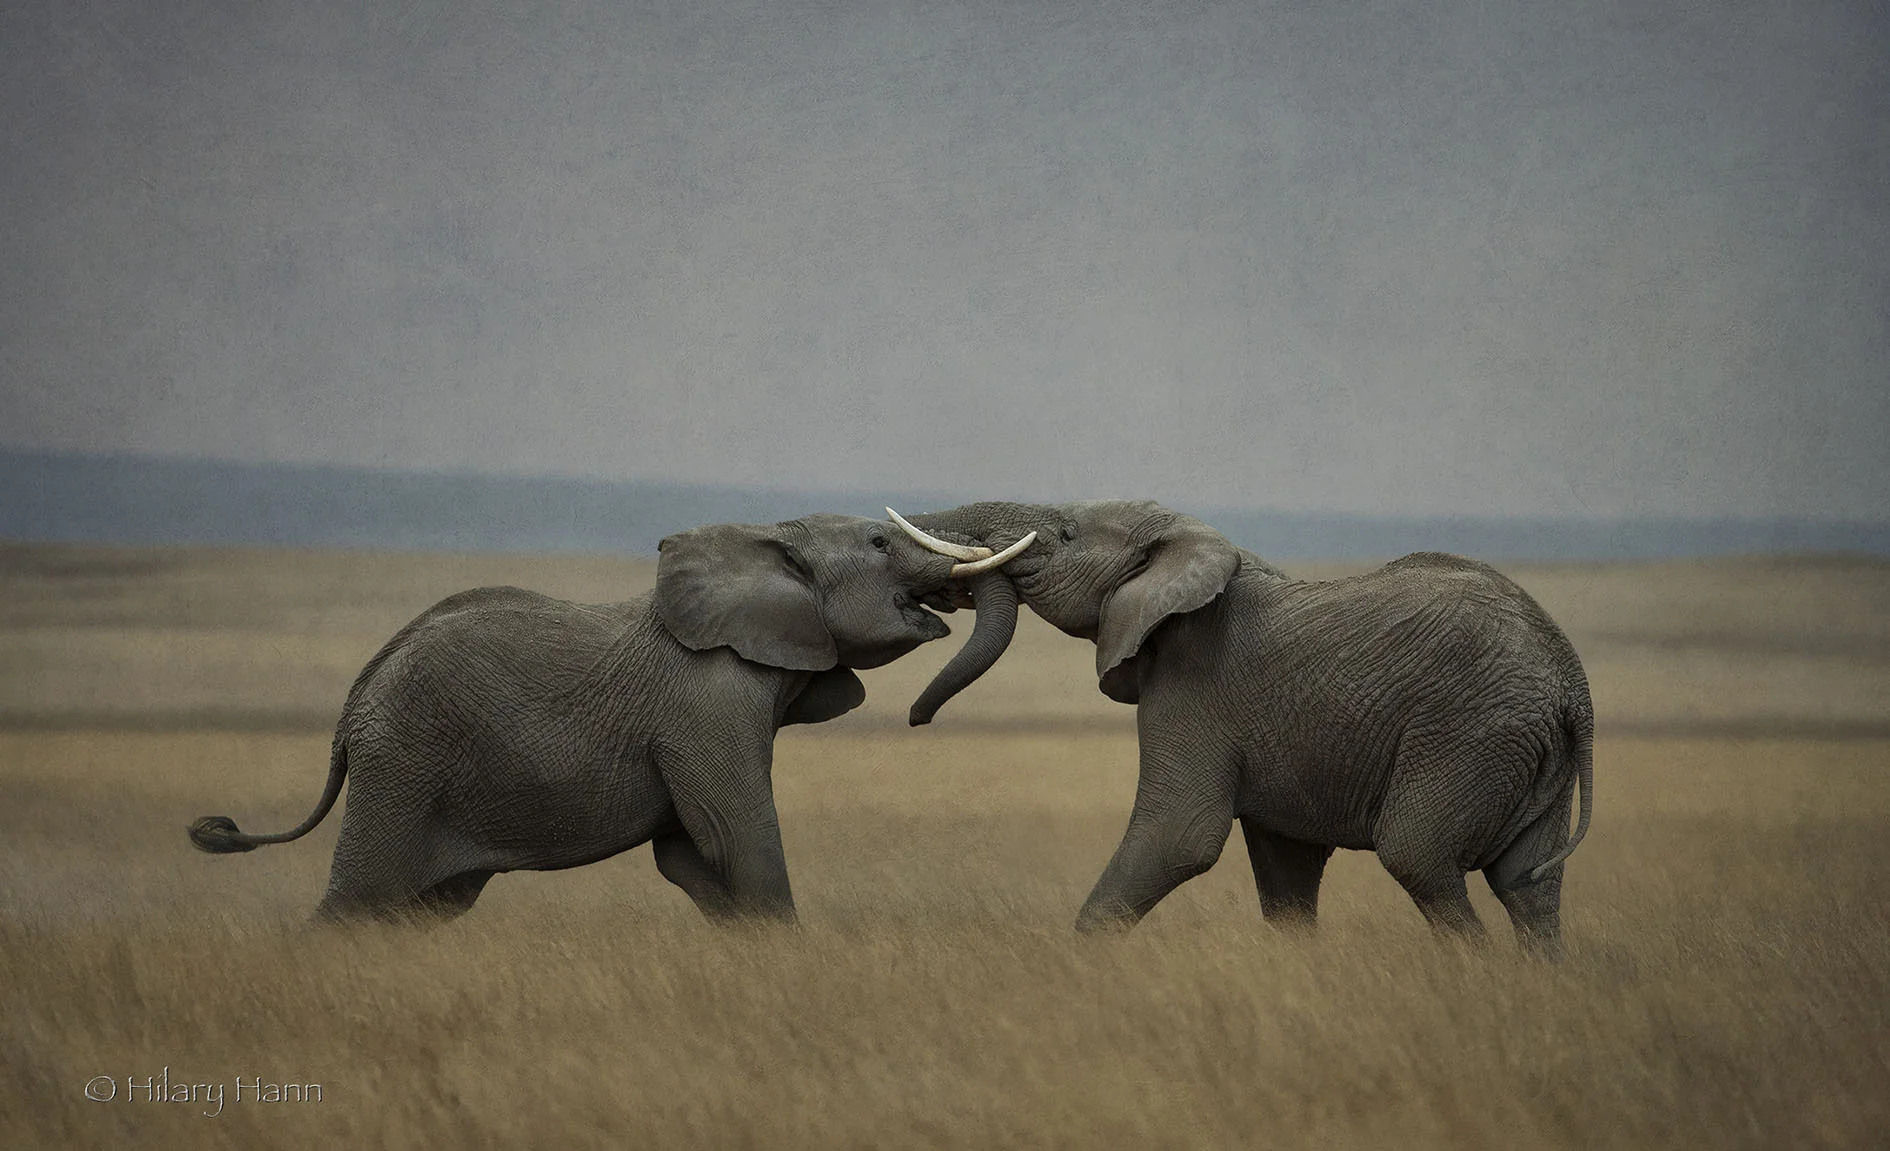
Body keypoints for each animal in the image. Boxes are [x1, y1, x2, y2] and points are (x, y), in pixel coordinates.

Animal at [188, 513, 1034, 924]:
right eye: (882, 542)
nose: (920, 719)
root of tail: (351, 705)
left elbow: (691, 856)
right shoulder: (706, 702)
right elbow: (738, 832)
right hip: (404, 763)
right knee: (359, 900)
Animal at [889, 500, 1593, 958]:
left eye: (1063, 534)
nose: (917, 718)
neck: (1194, 549)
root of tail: (1572, 685)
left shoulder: (1193, 682)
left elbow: (1180, 836)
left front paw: (1077, 966)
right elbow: (1286, 870)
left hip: (1469, 734)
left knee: (1419, 856)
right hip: (1527, 750)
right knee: (1529, 887)